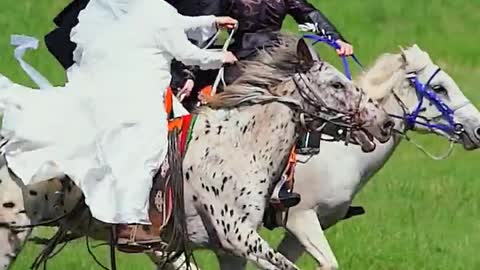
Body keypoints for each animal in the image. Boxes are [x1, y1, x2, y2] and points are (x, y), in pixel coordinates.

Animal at [0, 35, 392, 270]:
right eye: (336, 84)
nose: (385, 122)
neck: (239, 147)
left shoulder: (228, 249)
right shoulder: (239, 236)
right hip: (9, 235)